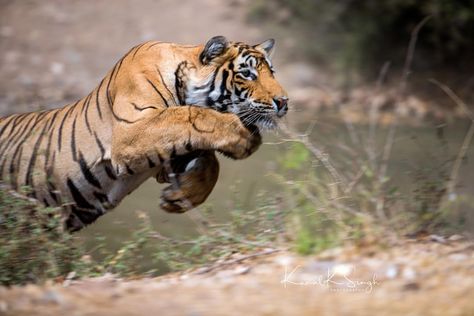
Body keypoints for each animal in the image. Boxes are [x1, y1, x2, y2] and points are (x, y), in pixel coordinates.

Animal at [0, 35, 288, 232]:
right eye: (247, 74)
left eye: (272, 72)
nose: (284, 101)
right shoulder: (133, 132)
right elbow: (191, 115)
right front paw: (244, 137)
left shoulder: (168, 155)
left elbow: (209, 163)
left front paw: (178, 198)